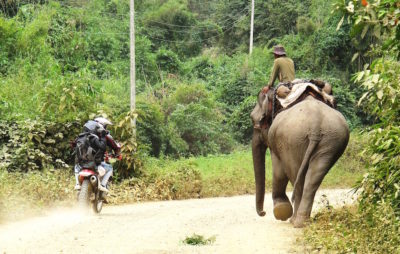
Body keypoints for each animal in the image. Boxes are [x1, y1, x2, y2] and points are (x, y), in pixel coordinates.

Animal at [252, 87, 348, 228]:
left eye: (253, 119)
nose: (263, 213)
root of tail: (315, 125)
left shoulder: (275, 139)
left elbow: (279, 172)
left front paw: (281, 211)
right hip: (330, 140)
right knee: (313, 177)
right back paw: (302, 221)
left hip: (292, 141)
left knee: (295, 174)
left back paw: (295, 221)